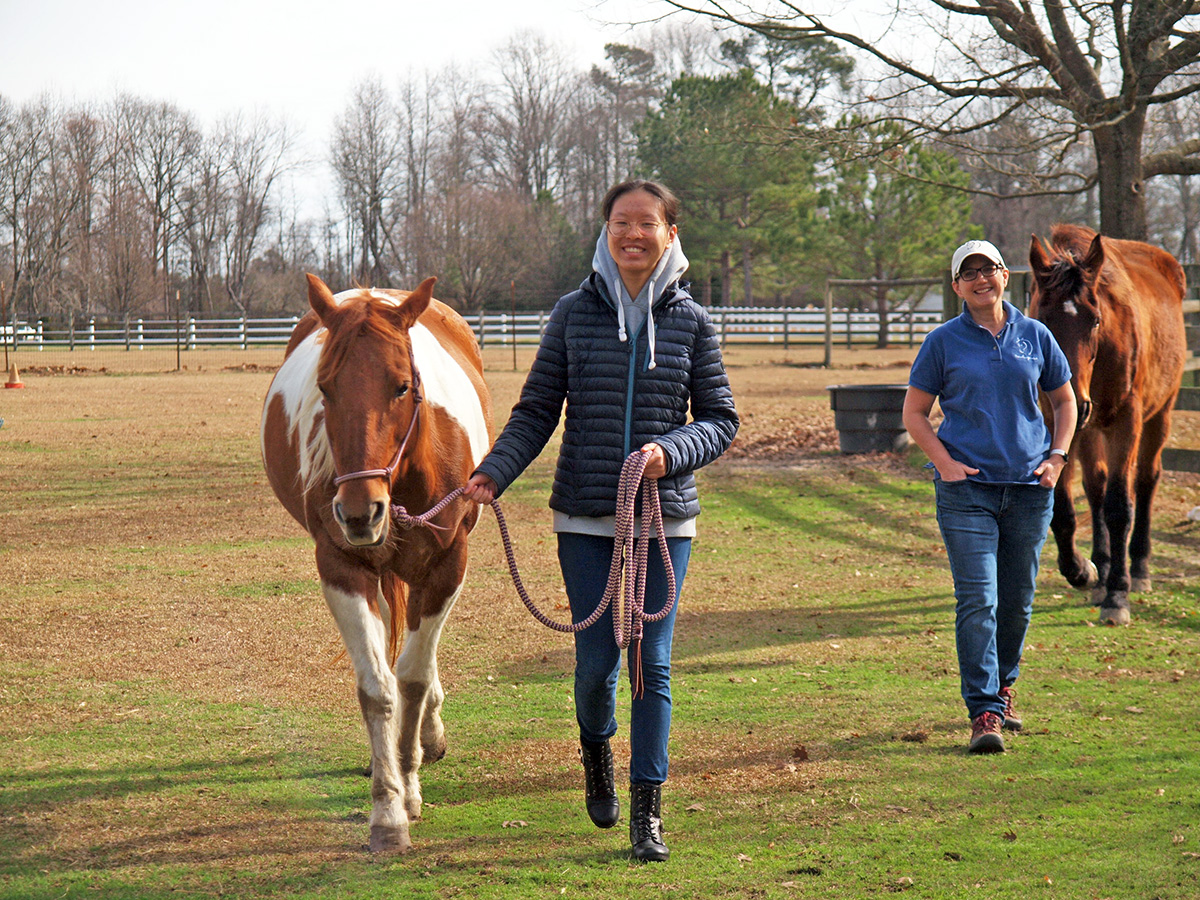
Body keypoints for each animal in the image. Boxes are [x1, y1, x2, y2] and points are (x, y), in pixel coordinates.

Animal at [260, 274, 492, 851]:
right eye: (325, 388)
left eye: (402, 386)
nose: (360, 512)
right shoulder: (342, 568)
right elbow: (378, 686)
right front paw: (388, 808)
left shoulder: (448, 565)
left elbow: (411, 678)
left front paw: (408, 779)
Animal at [1028, 224, 1187, 626]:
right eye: (1042, 320)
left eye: (1095, 320)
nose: (1074, 400)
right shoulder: (1059, 425)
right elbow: (1063, 508)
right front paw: (1083, 571)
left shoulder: (1125, 422)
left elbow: (1119, 507)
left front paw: (1118, 594)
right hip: (1089, 430)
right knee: (1095, 487)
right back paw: (1100, 570)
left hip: (1158, 415)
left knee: (1146, 480)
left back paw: (1139, 569)